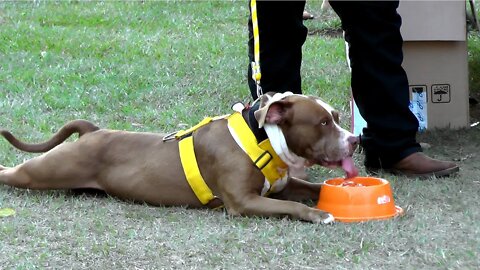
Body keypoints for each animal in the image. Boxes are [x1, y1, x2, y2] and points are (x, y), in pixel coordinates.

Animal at [0, 93, 358, 224]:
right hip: (45, 170)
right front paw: (319, 215)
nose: (355, 140)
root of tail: (92, 131)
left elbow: (312, 189)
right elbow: (291, 206)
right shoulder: (243, 202)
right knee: (11, 171)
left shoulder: (283, 185)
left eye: (336, 117)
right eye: (322, 123)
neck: (263, 139)